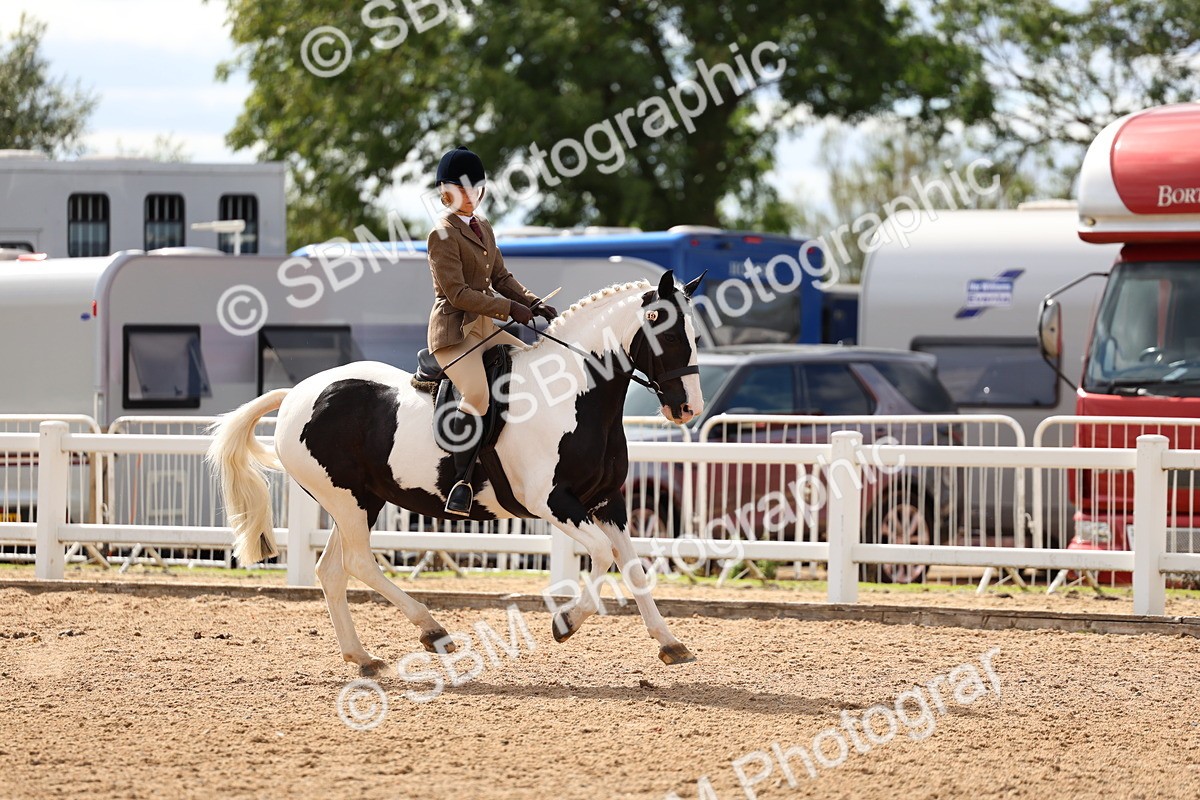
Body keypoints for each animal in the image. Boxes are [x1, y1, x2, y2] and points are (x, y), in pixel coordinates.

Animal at [207, 270, 705, 673]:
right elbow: (602, 555)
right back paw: (433, 631)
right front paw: (565, 622)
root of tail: (296, 394)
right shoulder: (552, 502)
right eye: (668, 334)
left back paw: (363, 656)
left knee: (332, 569)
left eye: (695, 335)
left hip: (361, 500)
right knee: (358, 563)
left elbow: (633, 567)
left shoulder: (606, 501)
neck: (574, 397)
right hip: (346, 499)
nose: (688, 409)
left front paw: (670, 643)